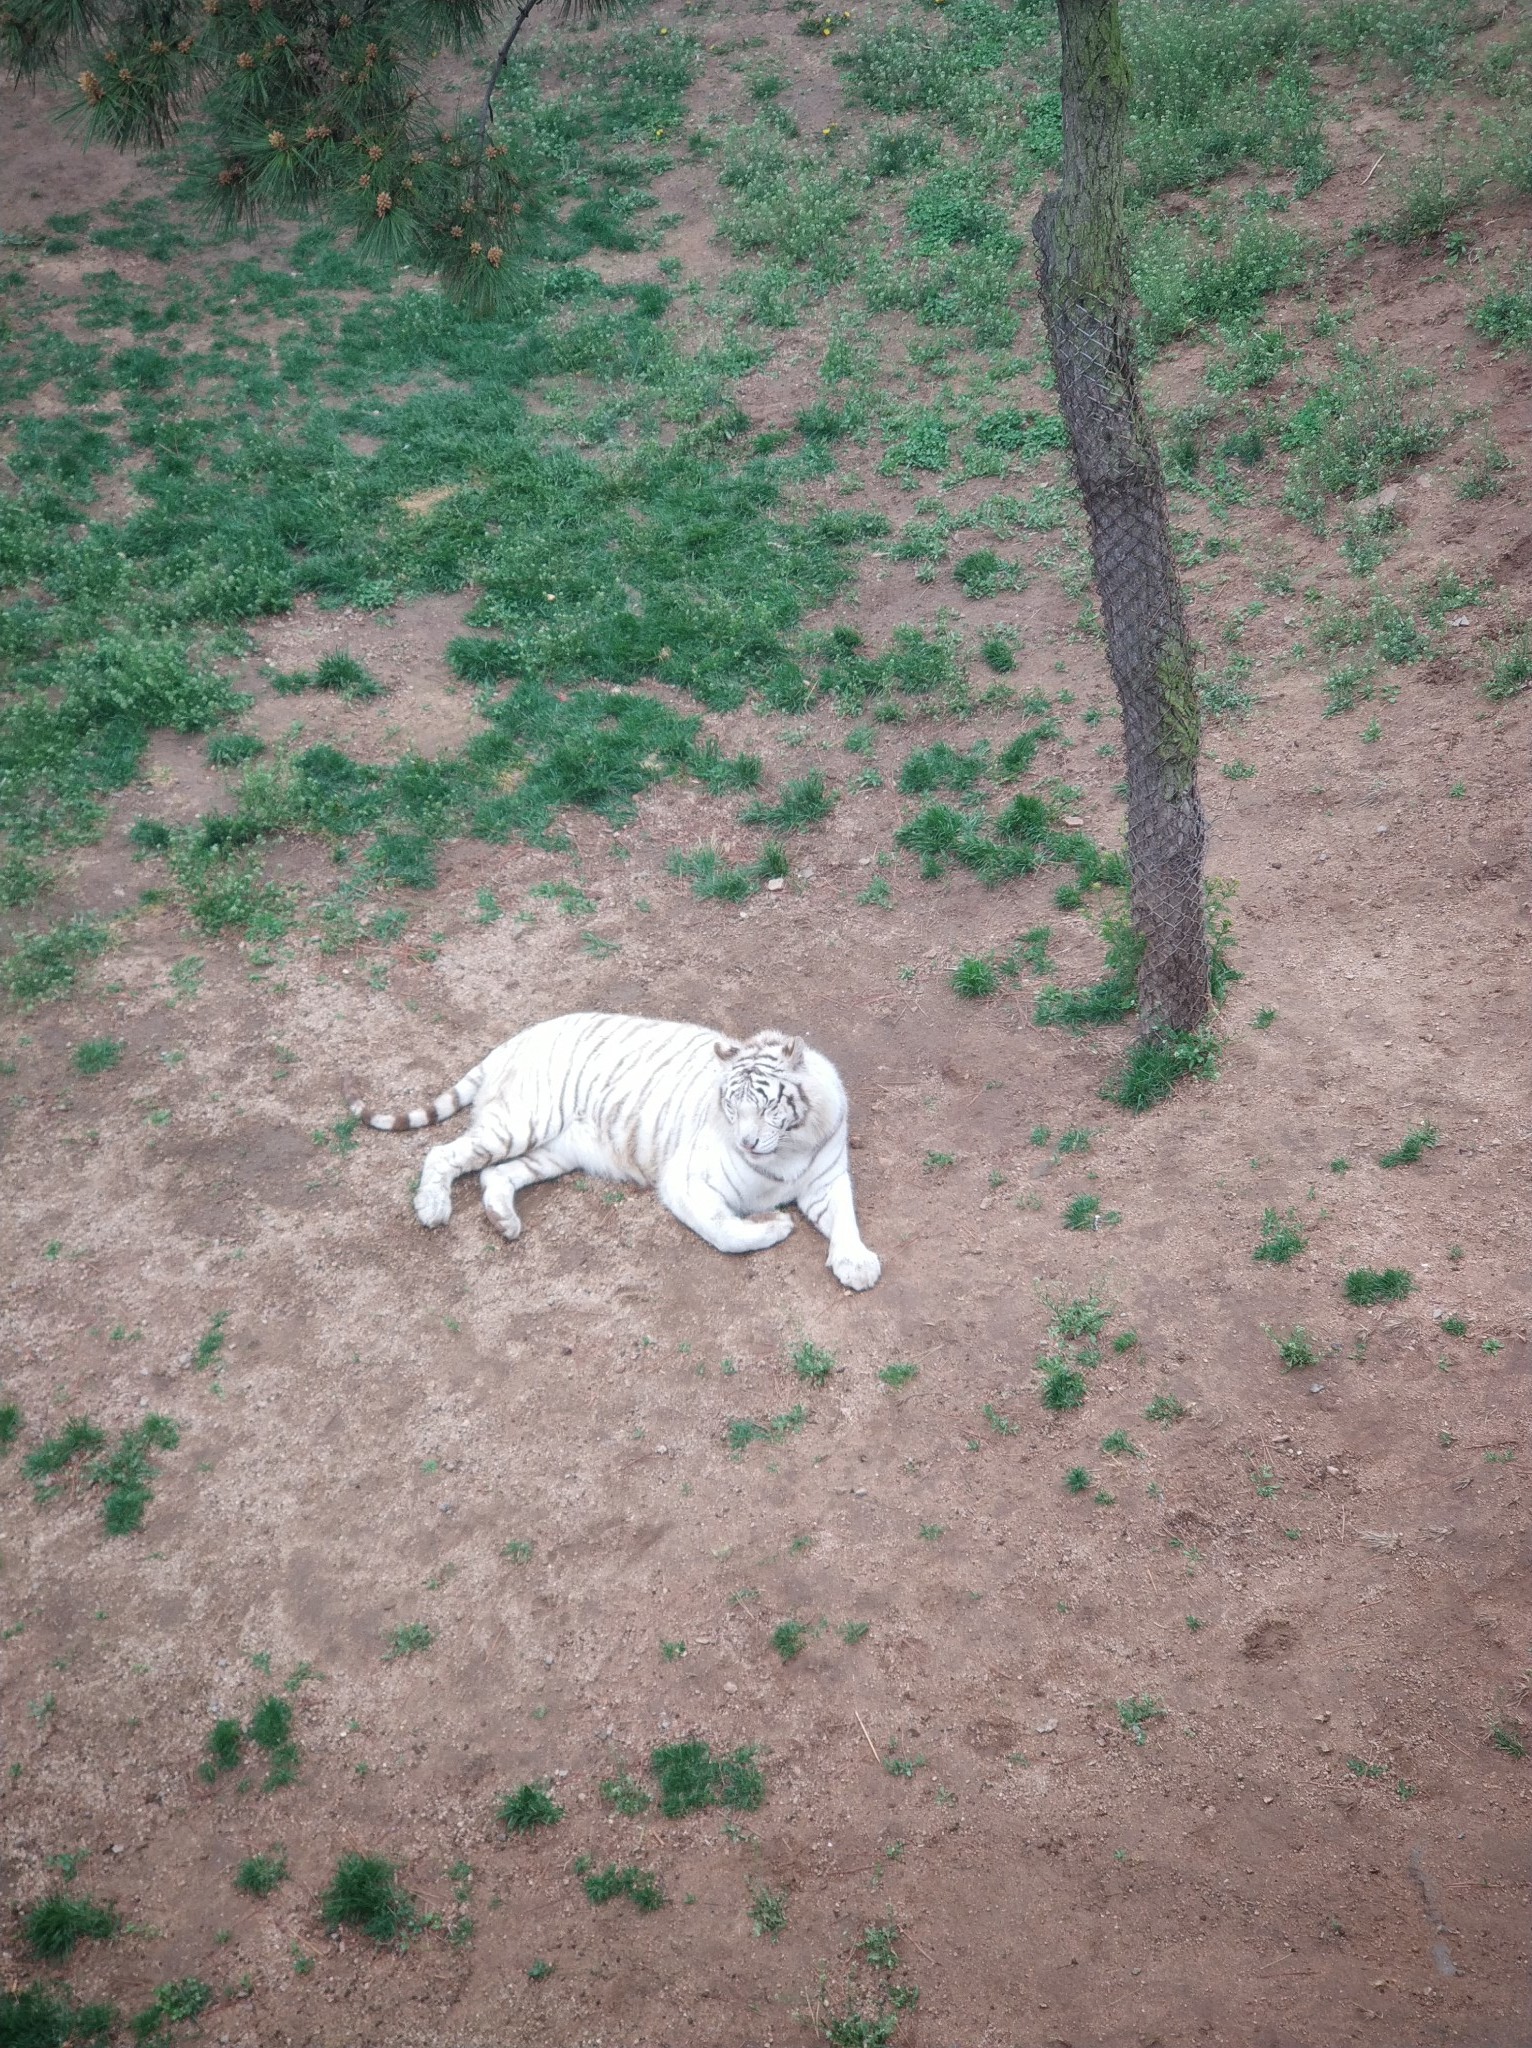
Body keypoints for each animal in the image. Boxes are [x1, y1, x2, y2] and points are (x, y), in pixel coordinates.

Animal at [344, 1015, 872, 1286]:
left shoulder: (827, 1180)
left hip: (554, 1152)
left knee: (495, 1176)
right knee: (441, 1153)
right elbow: (723, 1230)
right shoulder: (685, 1183)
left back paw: (504, 1221)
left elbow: (845, 1217)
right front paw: (774, 1225)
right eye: (730, 1104)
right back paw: (432, 1208)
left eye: (766, 1107)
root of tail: (513, 1040)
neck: (788, 1150)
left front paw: (857, 1264)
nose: (747, 1142)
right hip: (520, 1122)